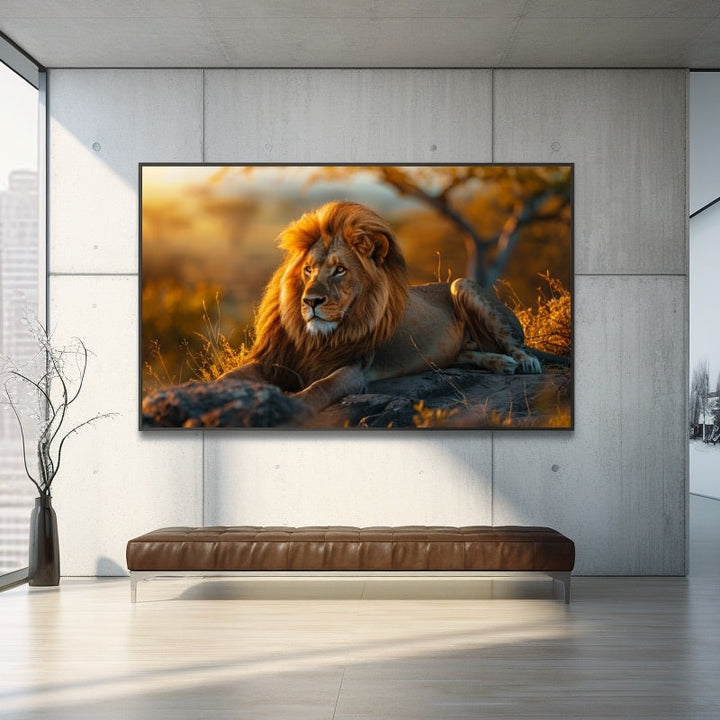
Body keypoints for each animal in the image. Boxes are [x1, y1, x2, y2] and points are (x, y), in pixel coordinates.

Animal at [221, 200, 542, 412]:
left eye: (340, 270)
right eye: (308, 270)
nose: (311, 301)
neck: (317, 338)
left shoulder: (354, 370)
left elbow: (320, 387)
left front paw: (293, 406)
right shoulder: (278, 362)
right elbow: (229, 376)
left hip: (461, 284)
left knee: (515, 344)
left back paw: (523, 362)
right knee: (467, 354)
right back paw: (499, 362)